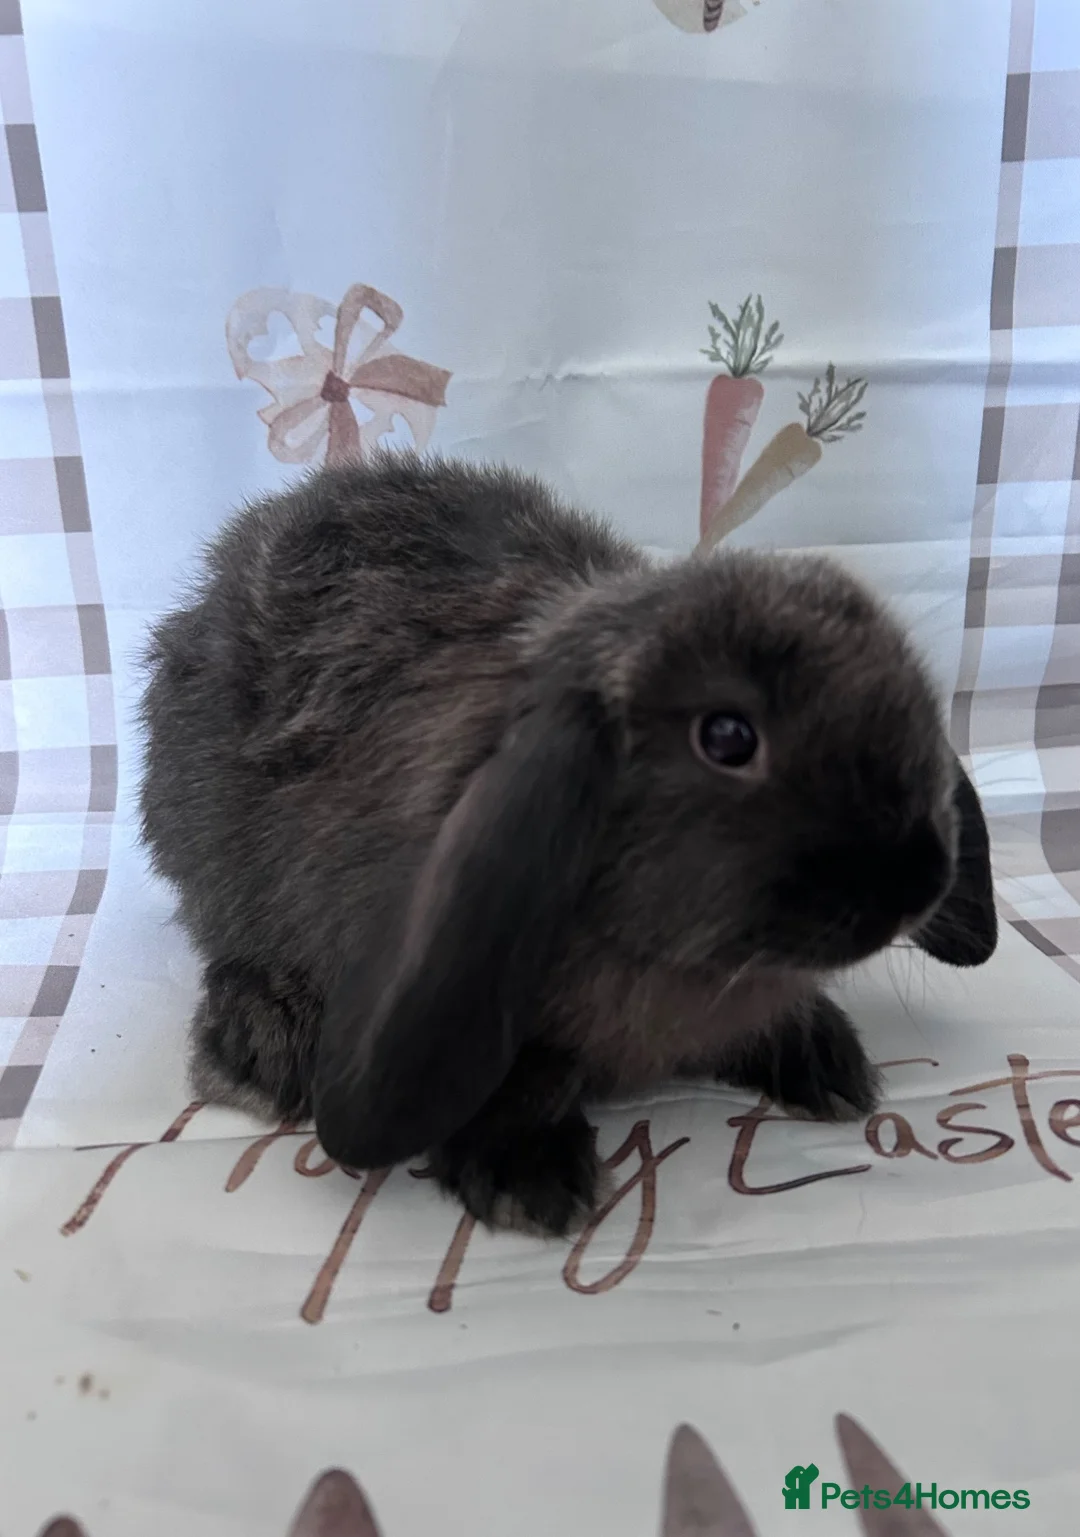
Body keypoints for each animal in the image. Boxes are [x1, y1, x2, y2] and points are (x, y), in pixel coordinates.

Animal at [138, 450, 996, 1238]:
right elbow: (527, 1077)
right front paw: (529, 1178)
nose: (919, 879)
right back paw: (262, 1046)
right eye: (727, 736)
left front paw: (826, 1060)